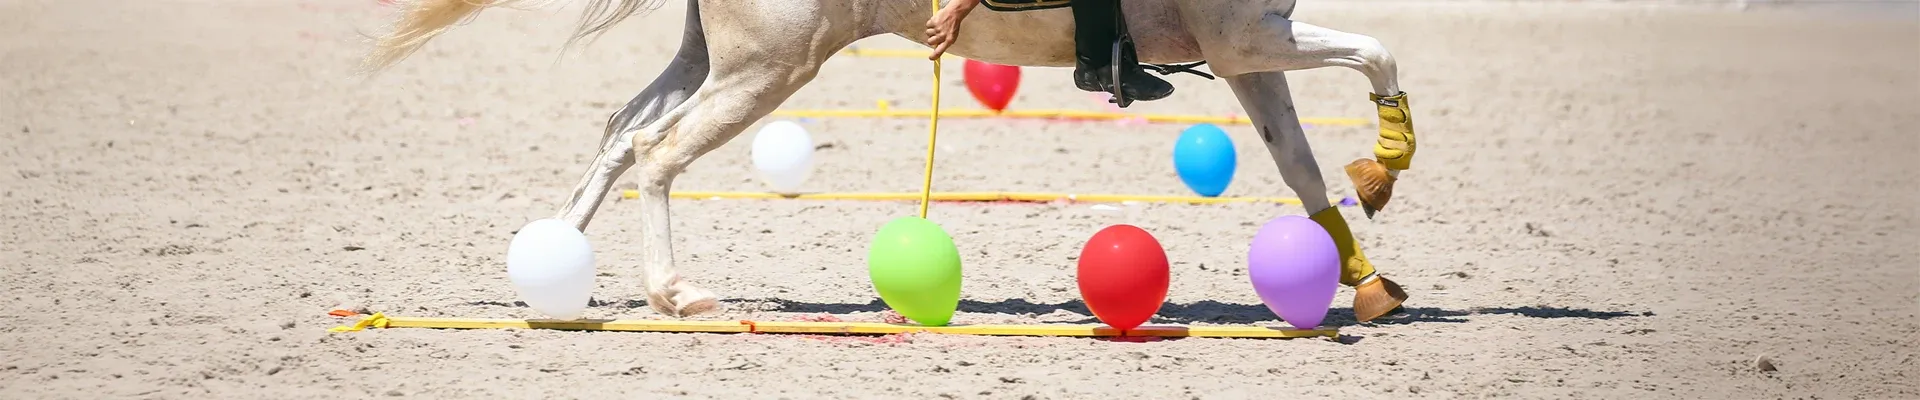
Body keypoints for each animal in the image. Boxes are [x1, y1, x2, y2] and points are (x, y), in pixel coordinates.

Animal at [361, 0, 1417, 322]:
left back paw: (557, 266)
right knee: (658, 150)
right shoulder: (1249, 38)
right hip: (770, 67)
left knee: (623, 132)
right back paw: (673, 293)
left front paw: (1366, 281)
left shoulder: (1246, 54)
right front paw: (1388, 160)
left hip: (721, 58)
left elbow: (1302, 174)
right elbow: (1377, 55)